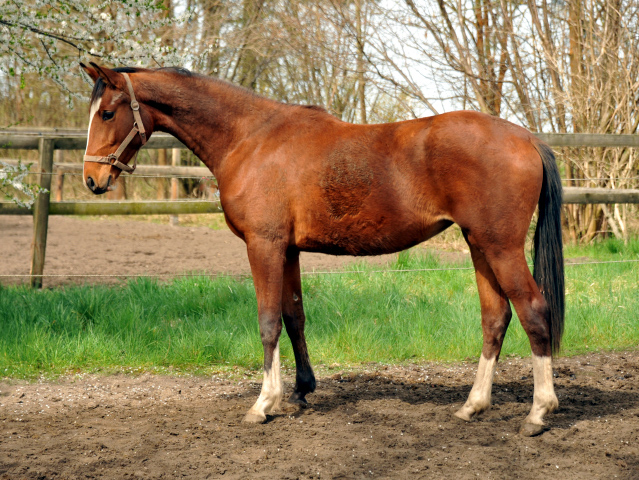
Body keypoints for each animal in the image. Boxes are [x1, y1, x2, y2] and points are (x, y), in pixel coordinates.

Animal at [80, 62, 564, 436]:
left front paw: (263, 403)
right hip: (478, 245)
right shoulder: (288, 250)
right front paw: (299, 392)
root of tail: (528, 138)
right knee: (495, 317)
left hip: (501, 247)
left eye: (107, 113)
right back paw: (473, 405)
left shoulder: (264, 245)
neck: (250, 138)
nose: (92, 180)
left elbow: (268, 322)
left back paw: (539, 413)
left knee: (533, 312)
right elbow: (294, 317)